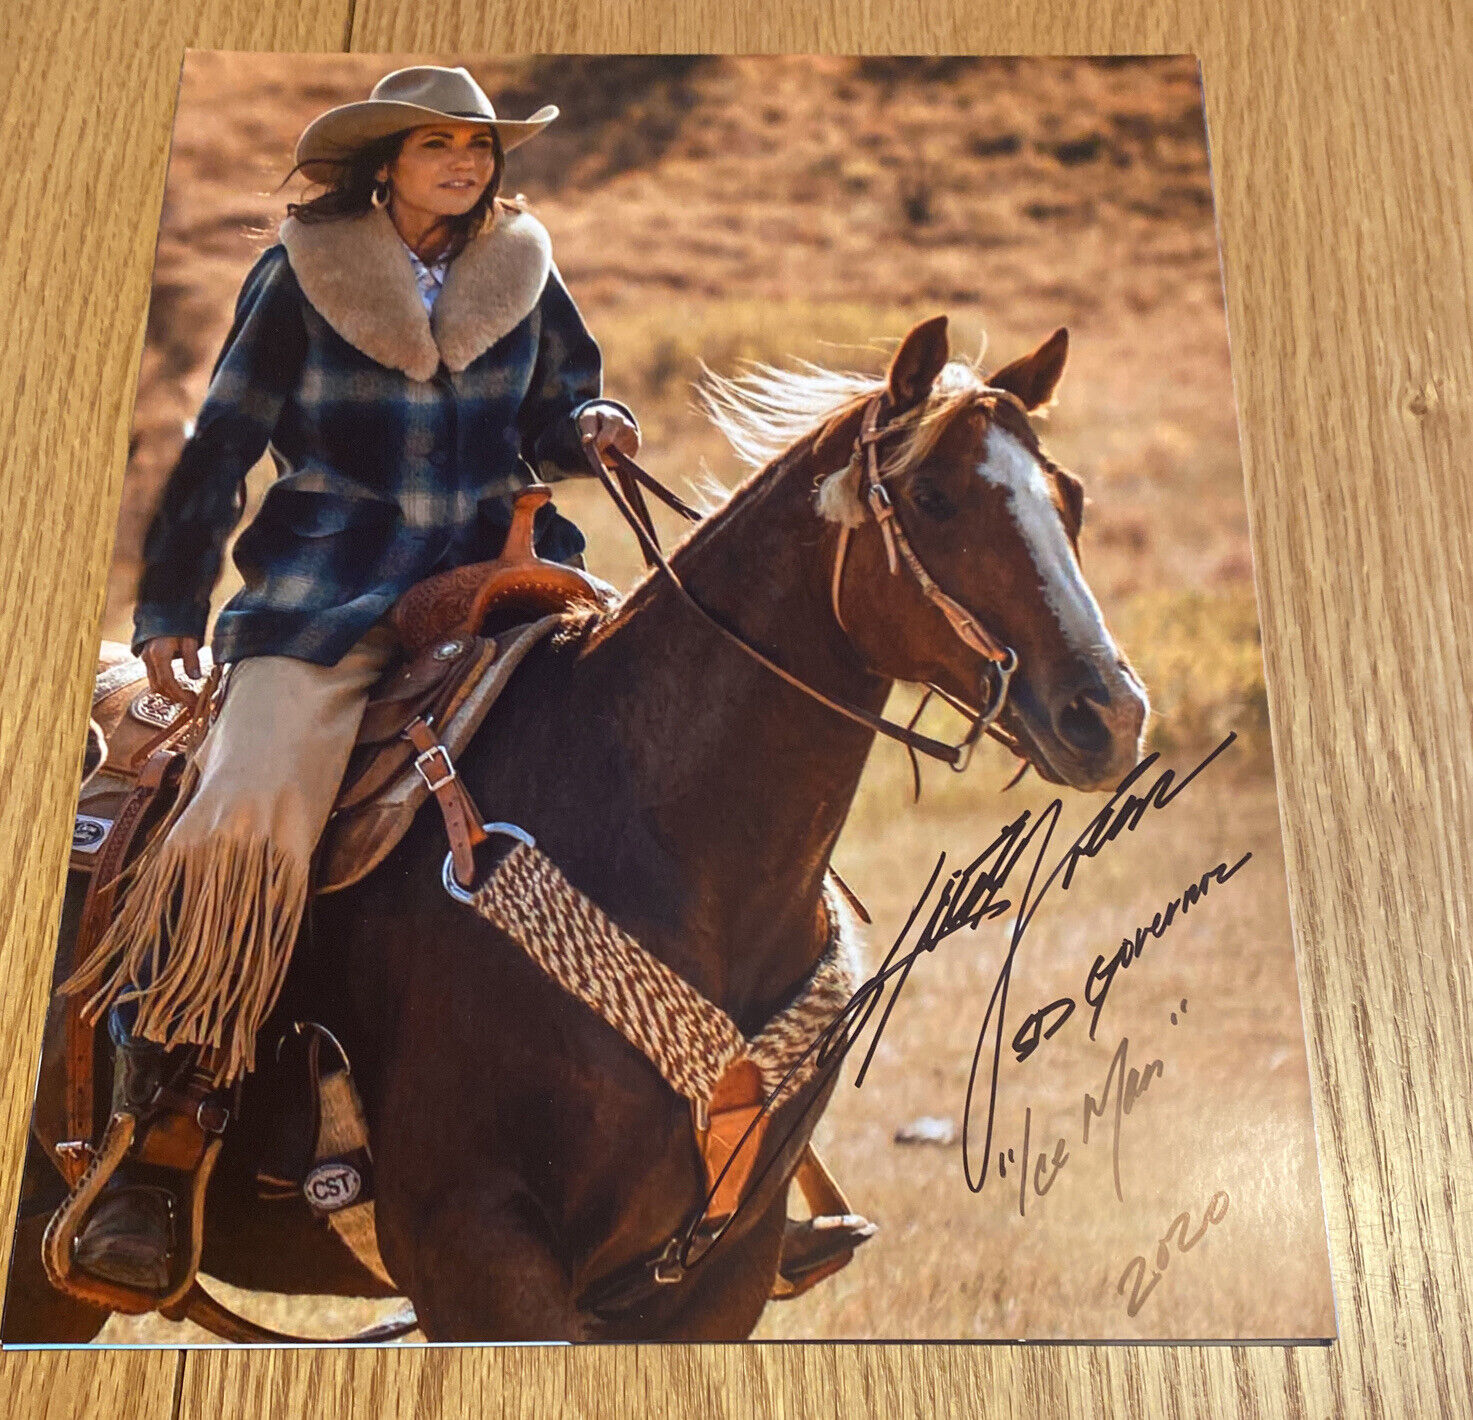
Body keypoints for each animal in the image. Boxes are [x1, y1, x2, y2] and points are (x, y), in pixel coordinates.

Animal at [2, 313, 1148, 1343]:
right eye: (935, 498)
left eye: (1070, 499)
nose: (1108, 714)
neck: (661, 837)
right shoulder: (480, 1253)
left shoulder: (710, 1280)